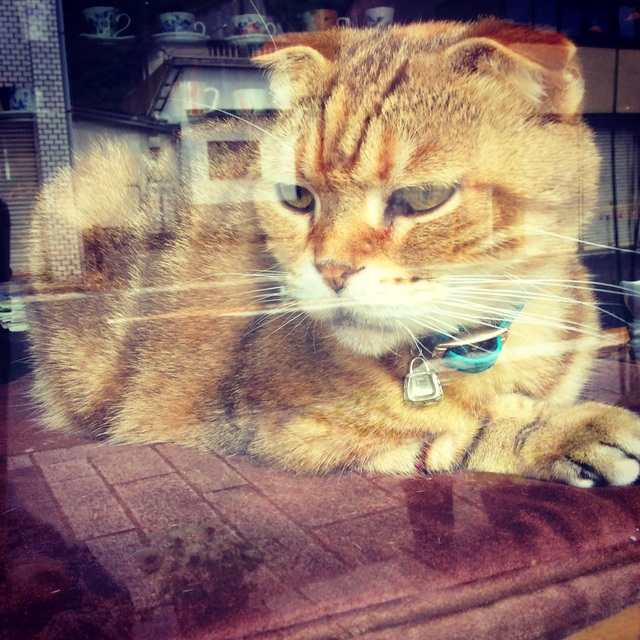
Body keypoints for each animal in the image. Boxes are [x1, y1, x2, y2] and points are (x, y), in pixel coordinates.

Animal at [25, 17, 640, 484]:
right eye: (298, 196)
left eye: (423, 197)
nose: (331, 270)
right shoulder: (291, 430)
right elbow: (459, 430)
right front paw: (570, 429)